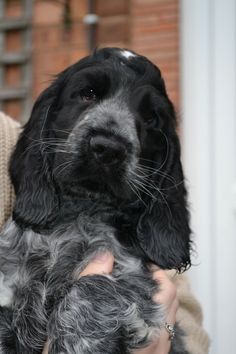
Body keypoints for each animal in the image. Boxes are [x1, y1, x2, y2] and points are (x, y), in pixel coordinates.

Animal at [0, 47, 191, 354]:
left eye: (151, 118)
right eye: (87, 94)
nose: (108, 148)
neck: (80, 212)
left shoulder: (132, 278)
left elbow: (91, 287)